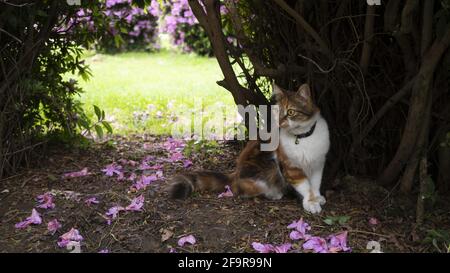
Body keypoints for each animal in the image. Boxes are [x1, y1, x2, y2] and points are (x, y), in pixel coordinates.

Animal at [169, 82, 330, 212]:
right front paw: (311, 202)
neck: (302, 137)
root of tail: (235, 173)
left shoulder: (318, 163)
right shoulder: (291, 167)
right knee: (242, 190)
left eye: (290, 112)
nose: (279, 122)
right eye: (277, 111)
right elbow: (305, 186)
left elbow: (315, 183)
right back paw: (274, 193)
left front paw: (317, 197)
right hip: (266, 166)